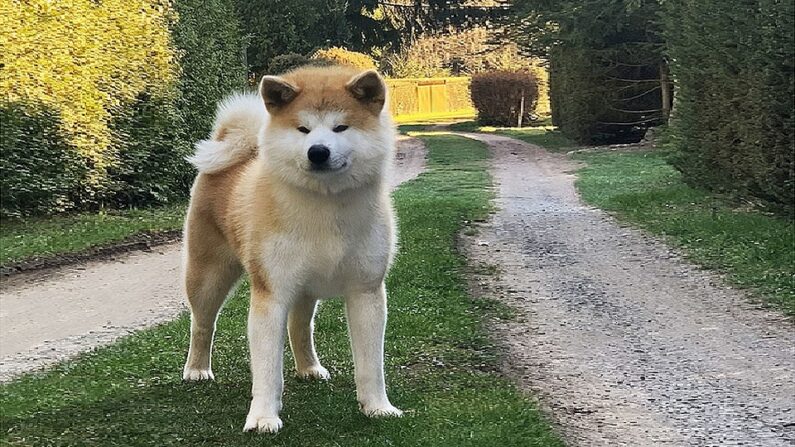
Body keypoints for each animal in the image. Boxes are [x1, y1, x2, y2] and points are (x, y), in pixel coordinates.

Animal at [182, 66, 404, 434]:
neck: (325, 208)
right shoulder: (270, 294)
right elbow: (267, 369)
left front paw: (377, 407)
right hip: (208, 278)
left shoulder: (367, 292)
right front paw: (263, 417)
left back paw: (309, 368)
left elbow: (371, 364)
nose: (318, 151)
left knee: (299, 328)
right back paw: (197, 369)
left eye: (341, 127)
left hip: (304, 288)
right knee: (202, 325)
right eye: (303, 129)